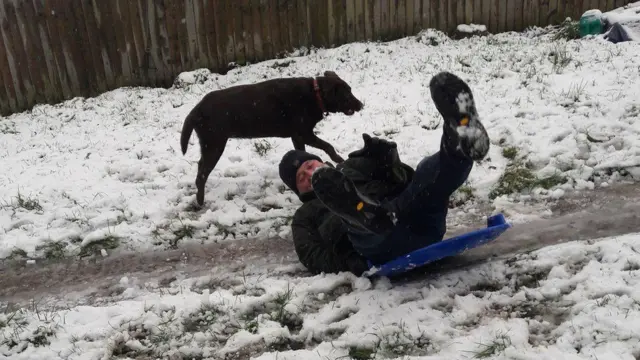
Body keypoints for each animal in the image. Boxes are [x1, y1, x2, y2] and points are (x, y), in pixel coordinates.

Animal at [182, 70, 362, 207]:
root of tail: (196, 110)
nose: (361, 105)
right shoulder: (304, 133)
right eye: (347, 94)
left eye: (351, 90)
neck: (315, 94)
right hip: (215, 144)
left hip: (210, 145)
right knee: (202, 173)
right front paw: (339, 159)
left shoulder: (297, 137)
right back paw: (200, 201)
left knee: (200, 167)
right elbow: (328, 146)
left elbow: (301, 153)